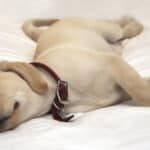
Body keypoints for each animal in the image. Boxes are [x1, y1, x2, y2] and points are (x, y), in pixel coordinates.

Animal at [0, 15, 148, 132]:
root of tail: (47, 30)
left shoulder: (112, 62)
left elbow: (141, 93)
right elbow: (141, 86)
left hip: (108, 30)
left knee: (122, 28)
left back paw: (131, 21)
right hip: (114, 46)